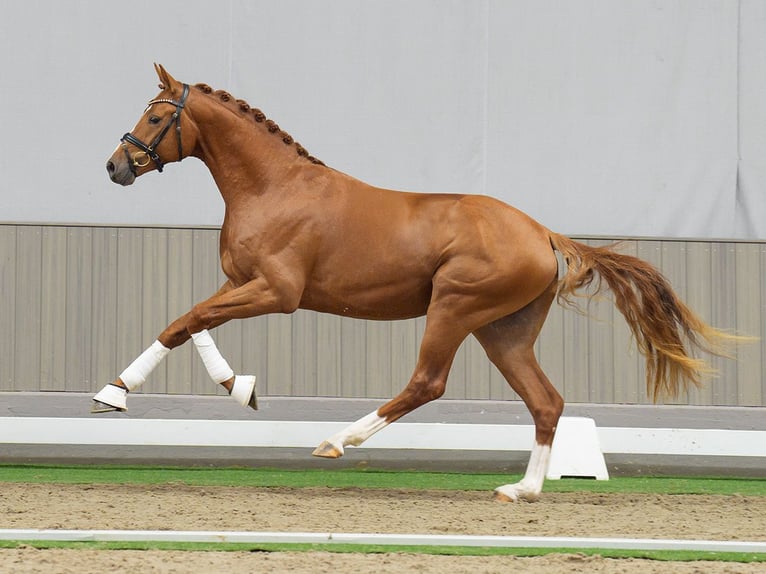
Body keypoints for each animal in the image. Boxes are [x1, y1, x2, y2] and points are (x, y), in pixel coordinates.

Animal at [94, 64, 732, 504]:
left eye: (157, 117)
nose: (116, 167)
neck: (274, 186)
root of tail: (545, 234)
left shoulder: (278, 292)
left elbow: (188, 319)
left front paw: (114, 393)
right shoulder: (240, 281)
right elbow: (194, 320)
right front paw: (239, 387)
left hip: (454, 308)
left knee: (428, 382)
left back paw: (338, 441)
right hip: (504, 332)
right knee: (545, 401)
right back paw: (521, 491)